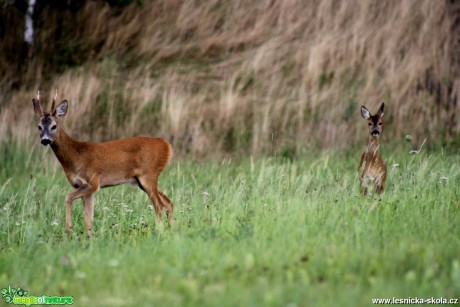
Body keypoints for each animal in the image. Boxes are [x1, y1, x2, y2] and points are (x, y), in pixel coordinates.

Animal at [31, 90, 173, 237]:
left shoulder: (93, 182)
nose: (45, 140)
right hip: (142, 180)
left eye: (54, 126)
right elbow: (88, 216)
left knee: (159, 206)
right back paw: (171, 229)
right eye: (39, 127)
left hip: (148, 175)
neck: (75, 156)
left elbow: (69, 198)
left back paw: (160, 231)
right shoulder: (83, 186)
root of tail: (166, 145)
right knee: (168, 203)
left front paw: (69, 230)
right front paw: (88, 236)